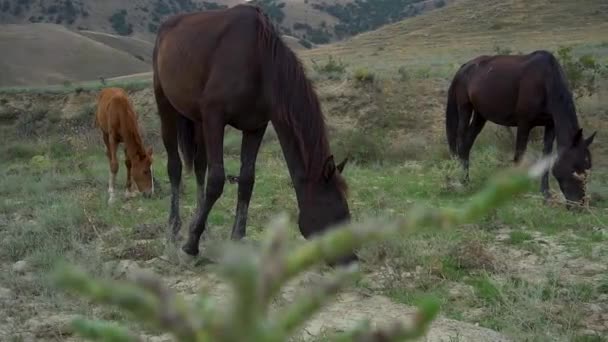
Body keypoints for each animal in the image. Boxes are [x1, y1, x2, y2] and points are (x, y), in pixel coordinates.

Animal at [152, 3, 356, 264]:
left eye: (346, 214)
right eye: (336, 213)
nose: (351, 260)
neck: (258, 63)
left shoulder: (255, 127)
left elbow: (247, 180)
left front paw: (236, 237)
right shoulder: (214, 118)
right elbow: (216, 180)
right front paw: (190, 245)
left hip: (197, 120)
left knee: (199, 166)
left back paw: (202, 226)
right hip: (165, 104)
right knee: (175, 167)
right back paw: (174, 228)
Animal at [446, 50, 600, 206]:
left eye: (587, 168)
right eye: (574, 169)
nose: (579, 205)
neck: (545, 81)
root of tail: (464, 68)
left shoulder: (550, 125)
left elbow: (546, 157)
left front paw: (545, 194)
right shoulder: (524, 124)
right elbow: (519, 156)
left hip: (480, 116)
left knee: (467, 145)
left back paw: (466, 180)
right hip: (465, 109)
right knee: (461, 143)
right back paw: (461, 180)